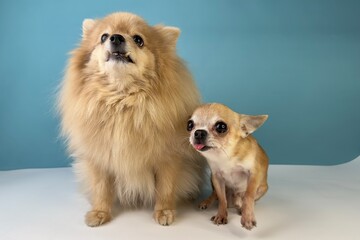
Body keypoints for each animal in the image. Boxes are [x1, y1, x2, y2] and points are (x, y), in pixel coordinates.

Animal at [59, 12, 205, 227]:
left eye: (138, 39)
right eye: (103, 37)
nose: (116, 38)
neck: (122, 100)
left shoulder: (169, 158)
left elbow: (166, 188)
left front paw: (164, 212)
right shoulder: (100, 158)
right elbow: (101, 188)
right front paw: (100, 212)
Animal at [188, 103, 270, 231]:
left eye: (221, 126)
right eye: (189, 125)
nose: (198, 132)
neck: (226, 156)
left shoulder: (253, 173)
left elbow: (248, 196)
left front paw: (247, 217)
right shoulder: (216, 177)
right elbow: (222, 199)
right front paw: (221, 215)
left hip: (263, 188)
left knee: (244, 197)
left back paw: (239, 204)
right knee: (215, 194)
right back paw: (207, 202)